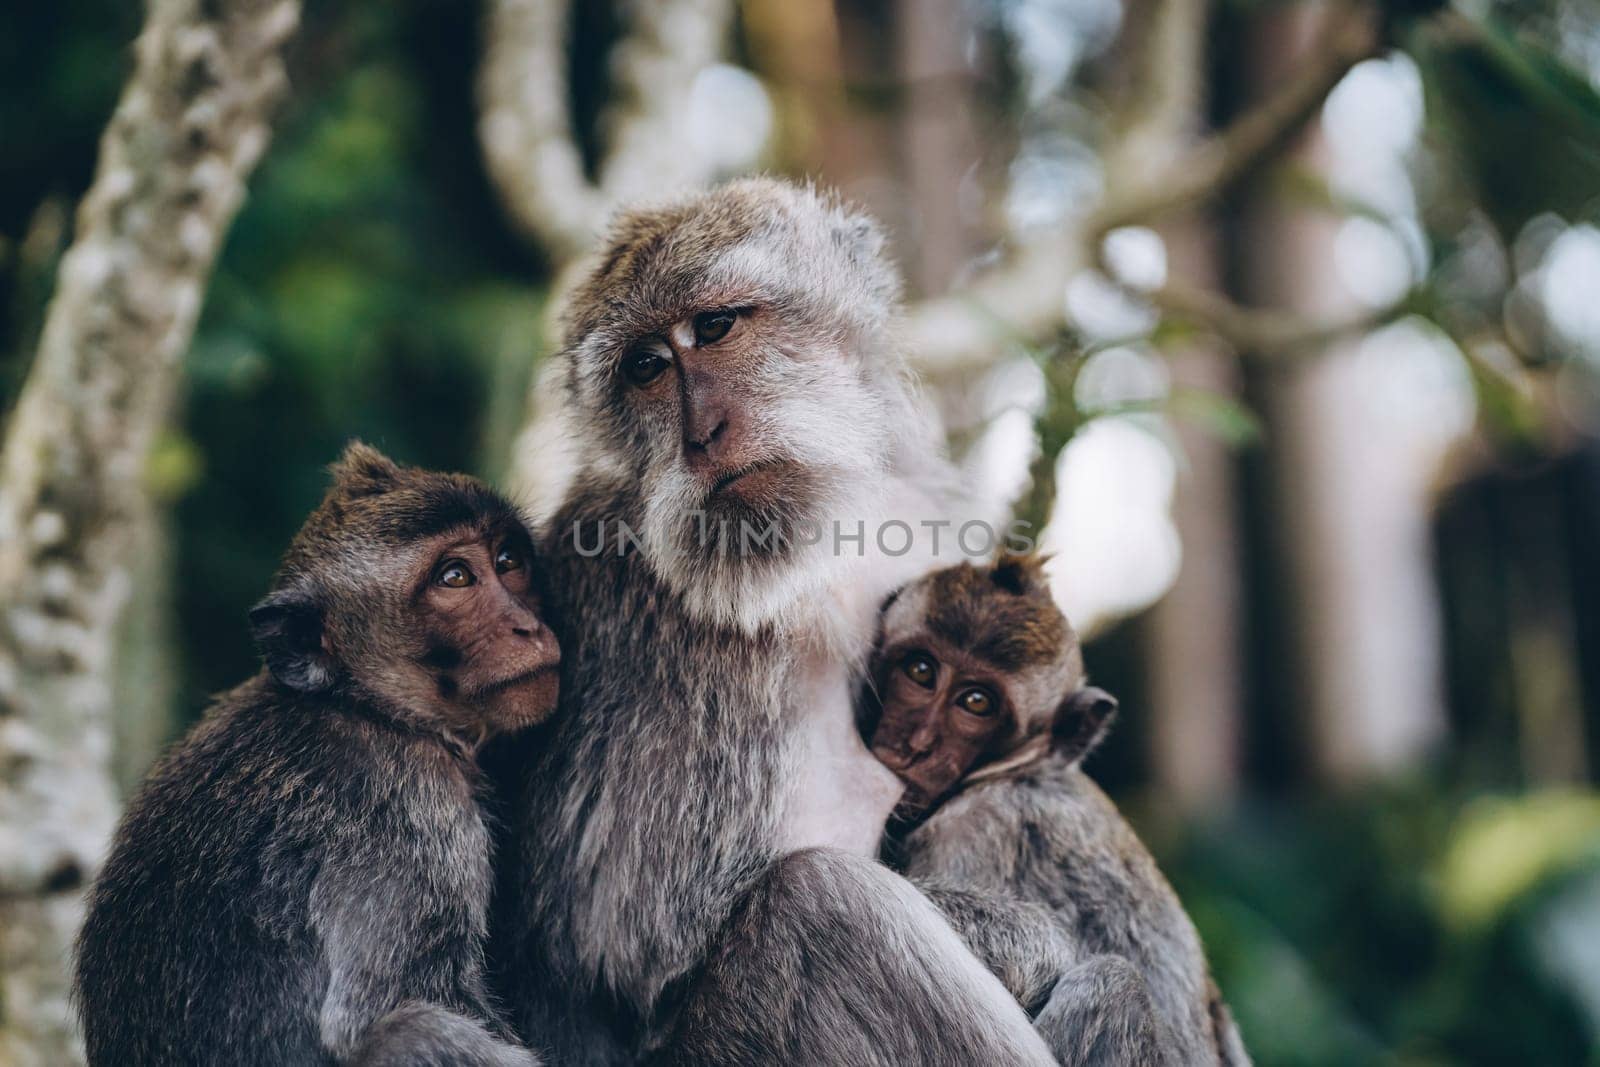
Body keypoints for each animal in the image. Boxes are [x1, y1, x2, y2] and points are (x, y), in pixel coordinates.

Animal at [76, 447, 556, 1062]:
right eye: (455, 577)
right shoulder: (407, 811)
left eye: (508, 559)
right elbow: (388, 1007)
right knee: (413, 1030)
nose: (527, 626)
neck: (363, 704)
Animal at [870, 559, 1241, 1067]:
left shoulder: (982, 827)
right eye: (921, 671)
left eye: (976, 702)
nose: (917, 745)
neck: (1015, 771)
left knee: (1113, 985)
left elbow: (1029, 955)